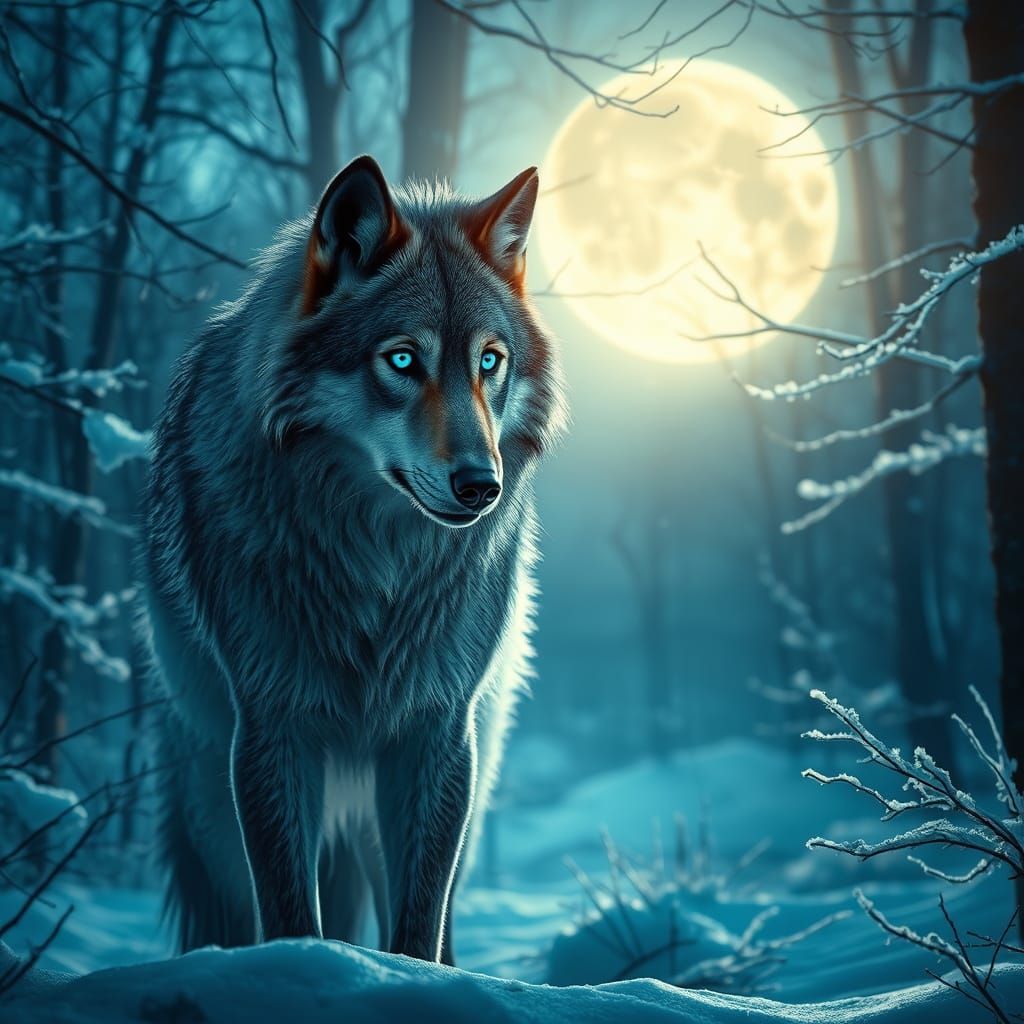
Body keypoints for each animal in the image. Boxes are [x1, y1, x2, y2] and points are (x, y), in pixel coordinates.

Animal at [140, 155, 566, 964]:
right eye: (402, 359)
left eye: (489, 362)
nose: (482, 485)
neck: (379, 573)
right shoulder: (271, 728)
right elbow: (286, 914)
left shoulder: (437, 730)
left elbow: (418, 927)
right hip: (210, 794)